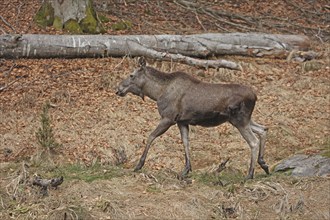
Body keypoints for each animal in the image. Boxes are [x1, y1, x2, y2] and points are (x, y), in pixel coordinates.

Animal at [115, 57, 268, 180]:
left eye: (131, 75)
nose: (118, 89)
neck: (157, 93)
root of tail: (255, 96)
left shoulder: (168, 118)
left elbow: (150, 137)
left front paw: (139, 165)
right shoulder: (182, 122)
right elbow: (186, 142)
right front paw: (185, 170)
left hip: (239, 120)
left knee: (253, 141)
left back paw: (250, 174)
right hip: (244, 120)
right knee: (263, 129)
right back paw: (264, 164)